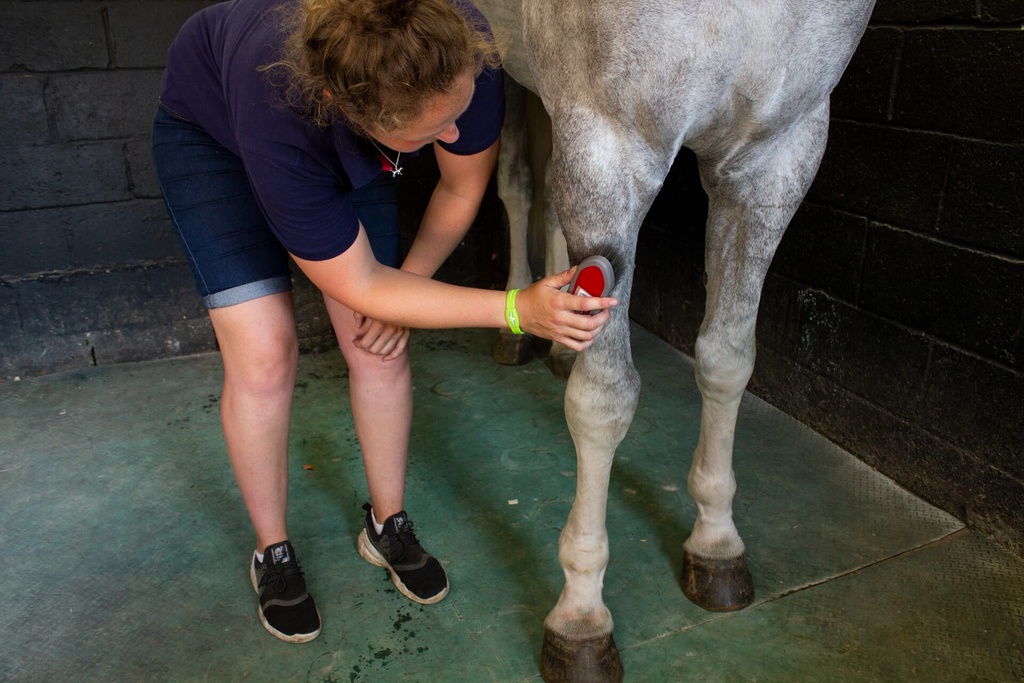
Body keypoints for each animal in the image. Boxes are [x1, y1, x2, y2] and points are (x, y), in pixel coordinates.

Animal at [475, 0, 876, 679]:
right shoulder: (609, 144)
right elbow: (604, 404)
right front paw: (581, 616)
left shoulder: (776, 156)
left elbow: (726, 359)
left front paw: (716, 544)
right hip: (500, 65)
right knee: (518, 183)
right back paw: (517, 331)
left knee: (548, 192)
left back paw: (559, 349)